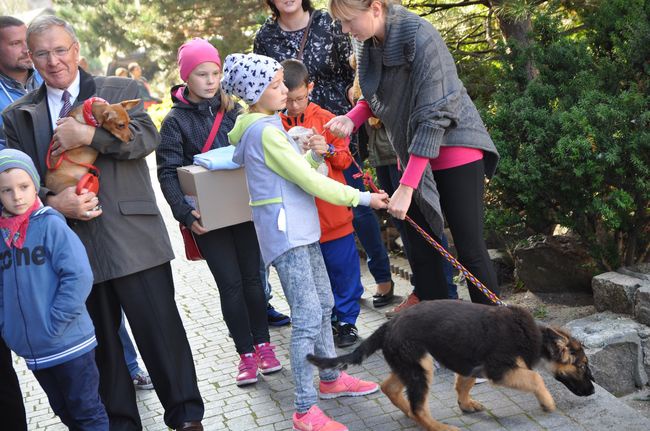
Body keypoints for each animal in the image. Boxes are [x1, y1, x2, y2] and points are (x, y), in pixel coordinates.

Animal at [306, 300, 596, 431]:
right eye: (582, 366)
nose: (593, 391)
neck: (532, 336)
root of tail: (389, 325)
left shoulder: (471, 364)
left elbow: (463, 383)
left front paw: (466, 404)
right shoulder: (499, 369)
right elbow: (536, 378)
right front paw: (547, 402)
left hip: (410, 364)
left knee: (390, 388)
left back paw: (409, 413)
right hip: (421, 366)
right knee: (419, 406)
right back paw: (438, 427)